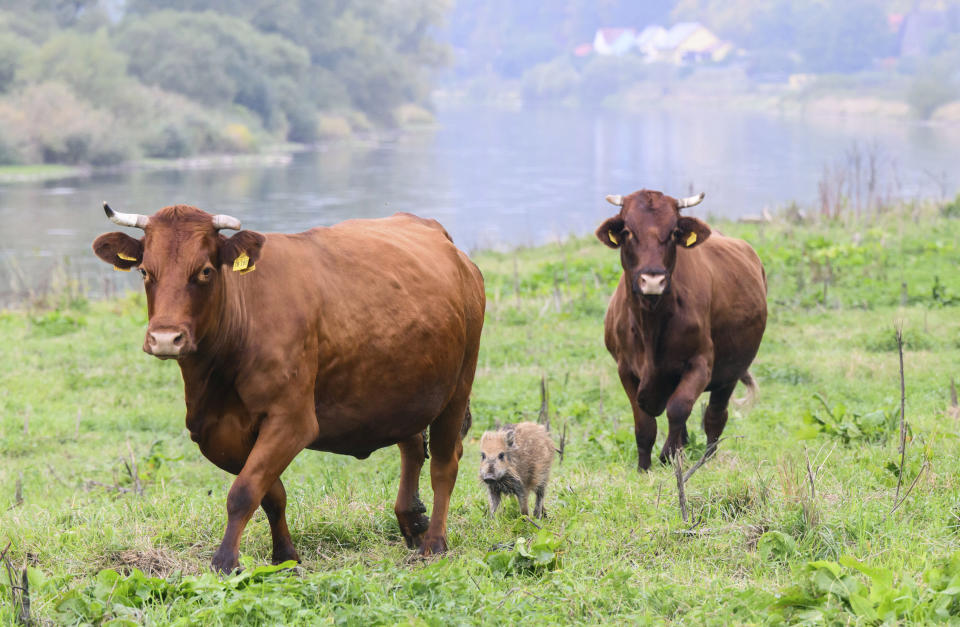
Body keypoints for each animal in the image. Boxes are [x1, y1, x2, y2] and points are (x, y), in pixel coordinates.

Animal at [93, 204, 484, 572]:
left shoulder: (292, 419)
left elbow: (243, 491)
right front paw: (285, 556)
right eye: (145, 272)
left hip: (459, 384)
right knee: (414, 444)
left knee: (445, 463)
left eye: (204, 270)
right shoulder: (214, 431)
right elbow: (271, 493)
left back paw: (434, 542)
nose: (165, 338)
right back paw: (411, 518)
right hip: (404, 390)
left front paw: (225, 561)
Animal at [596, 190, 768, 472]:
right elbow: (644, 423)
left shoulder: (701, 363)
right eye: (628, 231)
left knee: (715, 416)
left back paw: (705, 458)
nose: (652, 280)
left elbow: (678, 408)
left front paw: (668, 456)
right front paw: (644, 467)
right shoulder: (625, 368)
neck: (651, 324)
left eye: (674, 231)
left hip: (731, 371)